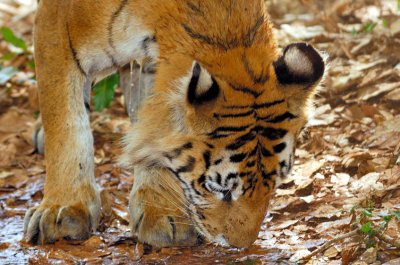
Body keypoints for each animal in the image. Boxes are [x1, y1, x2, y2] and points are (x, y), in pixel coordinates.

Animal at [25, 0, 324, 248]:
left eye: (274, 185)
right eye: (221, 190)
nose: (241, 245)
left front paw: (162, 211)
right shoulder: (57, 25)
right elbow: (65, 121)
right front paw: (63, 209)